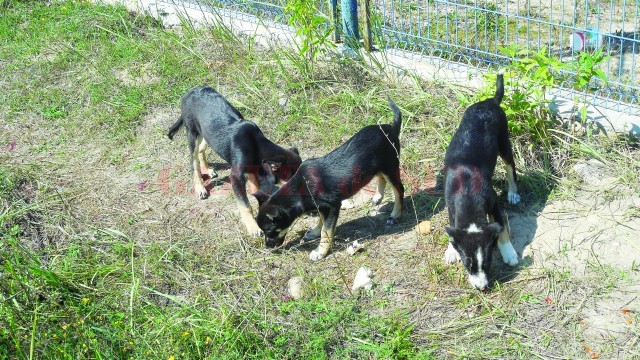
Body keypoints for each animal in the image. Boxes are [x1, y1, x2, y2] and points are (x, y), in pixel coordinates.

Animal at [168, 86, 302, 238]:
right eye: (292, 179)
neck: (256, 144)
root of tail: (190, 91)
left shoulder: (251, 168)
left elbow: (255, 185)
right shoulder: (236, 177)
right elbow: (245, 205)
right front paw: (253, 227)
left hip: (206, 134)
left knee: (202, 149)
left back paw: (207, 170)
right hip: (192, 134)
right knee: (194, 161)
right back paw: (200, 187)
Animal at [252, 98, 402, 262]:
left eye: (270, 230)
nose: (268, 247)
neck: (300, 188)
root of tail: (391, 128)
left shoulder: (332, 207)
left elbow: (327, 231)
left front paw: (320, 251)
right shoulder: (323, 207)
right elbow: (321, 221)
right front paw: (314, 232)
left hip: (391, 168)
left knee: (399, 190)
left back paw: (395, 215)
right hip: (377, 167)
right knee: (381, 178)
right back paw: (377, 197)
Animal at [444, 74, 520, 292]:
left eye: (487, 263)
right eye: (467, 266)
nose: (482, 288)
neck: (468, 195)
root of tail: (490, 101)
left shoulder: (494, 203)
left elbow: (501, 228)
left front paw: (509, 252)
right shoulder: (450, 205)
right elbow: (453, 227)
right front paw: (451, 250)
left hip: (504, 143)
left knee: (511, 168)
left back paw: (513, 193)